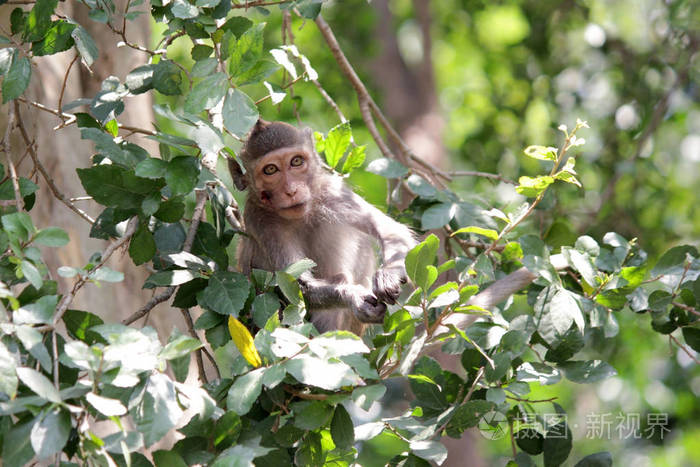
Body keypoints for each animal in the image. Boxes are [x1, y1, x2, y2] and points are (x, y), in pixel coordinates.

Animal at [230, 119, 416, 334]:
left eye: (296, 162)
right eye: (270, 170)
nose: (291, 191)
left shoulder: (331, 190)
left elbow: (390, 231)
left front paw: (388, 276)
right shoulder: (260, 221)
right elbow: (298, 285)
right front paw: (353, 297)